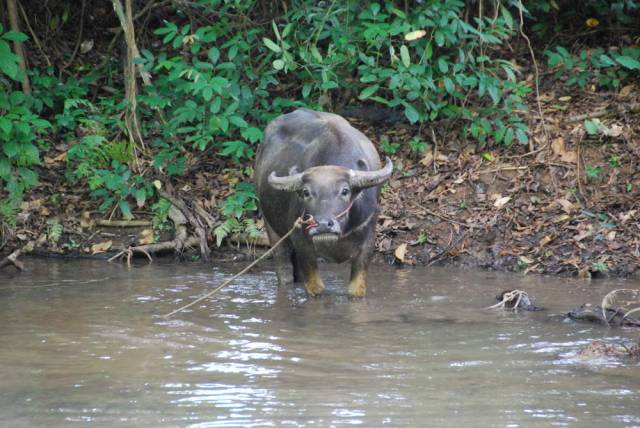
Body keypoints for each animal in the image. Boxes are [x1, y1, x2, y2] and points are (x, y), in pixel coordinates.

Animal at [254, 108, 392, 296]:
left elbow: (356, 290)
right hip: (272, 228)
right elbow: (316, 288)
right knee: (284, 270)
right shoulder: (303, 244)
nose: (323, 225)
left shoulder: (368, 243)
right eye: (306, 192)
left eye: (345, 191)